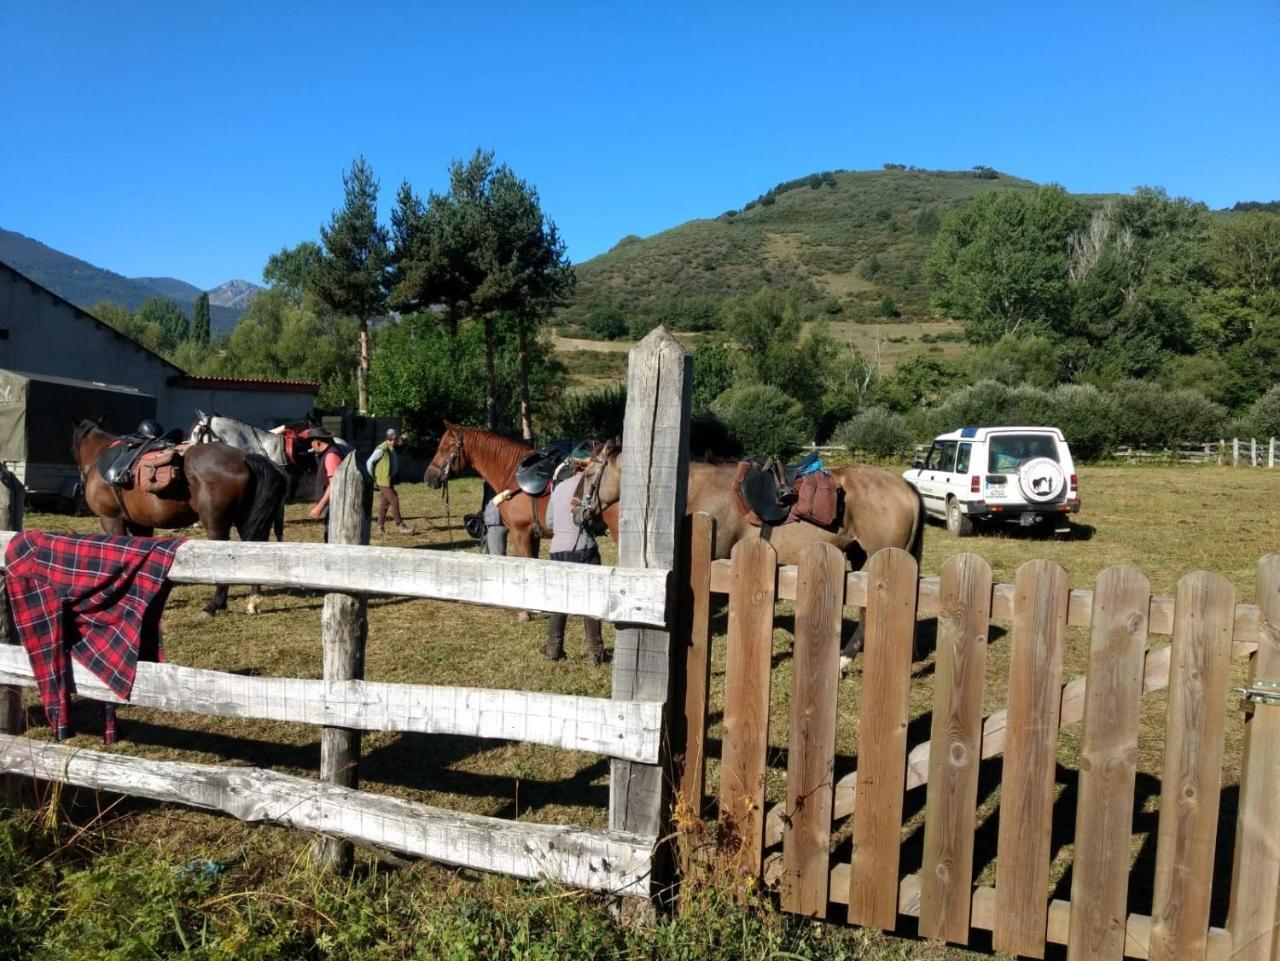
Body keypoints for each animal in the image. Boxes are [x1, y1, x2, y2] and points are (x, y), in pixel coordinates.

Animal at [73, 419, 289, 616]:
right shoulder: (140, 524)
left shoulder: (111, 519)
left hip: (216, 524)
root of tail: (244, 458)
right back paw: (253, 601)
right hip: (244, 519)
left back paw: (215, 605)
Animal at [578, 442, 921, 660]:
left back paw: (844, 660)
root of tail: (906, 487)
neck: (702, 488)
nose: (577, 511)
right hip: (863, 559)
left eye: (588, 474)